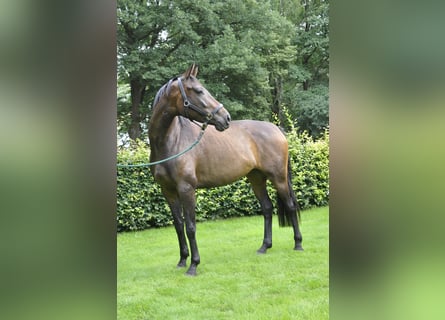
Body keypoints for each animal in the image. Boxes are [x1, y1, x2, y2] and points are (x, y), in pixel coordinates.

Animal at [149, 64, 302, 276]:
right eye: (199, 91)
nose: (226, 118)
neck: (171, 141)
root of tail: (276, 128)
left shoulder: (186, 189)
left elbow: (190, 227)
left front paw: (193, 265)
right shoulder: (168, 191)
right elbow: (179, 225)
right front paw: (182, 260)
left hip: (278, 178)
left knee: (290, 206)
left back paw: (298, 244)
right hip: (256, 179)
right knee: (267, 208)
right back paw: (264, 247)